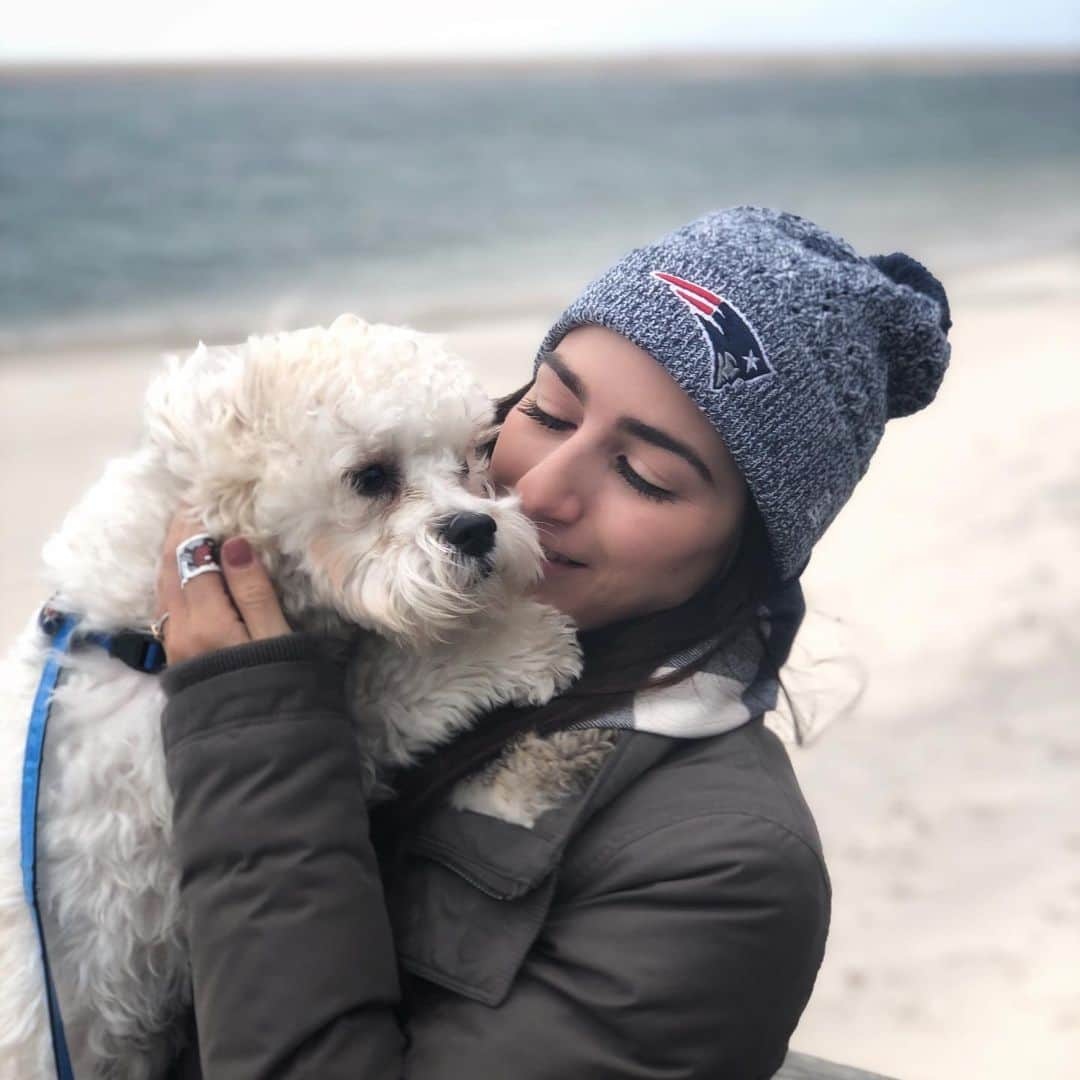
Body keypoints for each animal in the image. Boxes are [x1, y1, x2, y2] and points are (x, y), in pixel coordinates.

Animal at [0, 315, 583, 1080]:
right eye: (371, 477)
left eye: (467, 462)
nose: (477, 528)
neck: (139, 638)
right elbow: (389, 683)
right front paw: (519, 645)